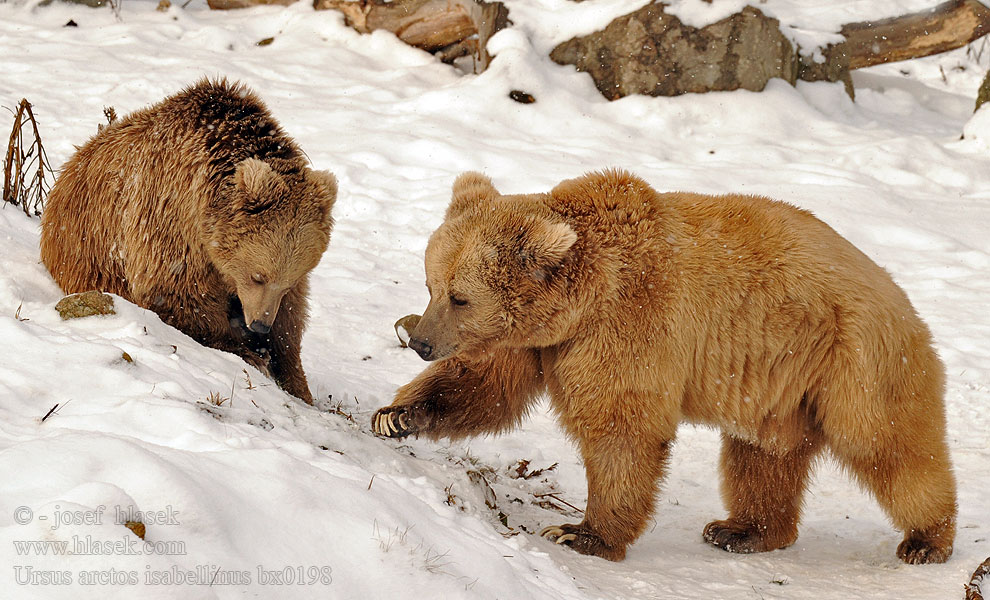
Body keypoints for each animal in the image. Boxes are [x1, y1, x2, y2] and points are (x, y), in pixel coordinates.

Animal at [40, 76, 338, 404]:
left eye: (286, 283)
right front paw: (246, 350)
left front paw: (295, 377)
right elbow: (178, 294)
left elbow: (291, 319)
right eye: (257, 276)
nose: (259, 324)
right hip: (89, 254)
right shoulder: (170, 216)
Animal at [374, 168, 960, 564]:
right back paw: (743, 530)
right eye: (430, 285)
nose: (421, 341)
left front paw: (580, 532)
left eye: (460, 297)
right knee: (762, 455)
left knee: (888, 444)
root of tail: (901, 295)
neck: (582, 299)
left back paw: (927, 539)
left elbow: (622, 427)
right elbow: (487, 385)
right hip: (780, 383)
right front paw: (396, 415)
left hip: (854, 358)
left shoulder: (631, 321)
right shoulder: (539, 343)